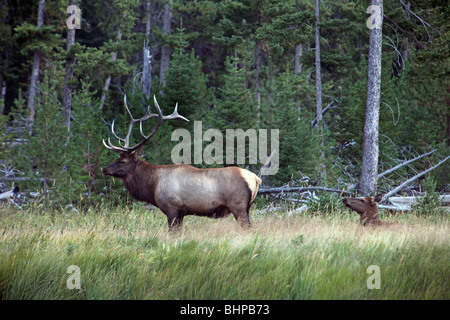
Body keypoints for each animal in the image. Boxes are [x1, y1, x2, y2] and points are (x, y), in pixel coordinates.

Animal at [102, 96, 262, 231]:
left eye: (123, 161)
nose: (104, 169)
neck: (152, 185)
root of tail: (256, 178)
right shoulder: (181, 213)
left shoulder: (172, 208)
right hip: (247, 208)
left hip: (238, 207)